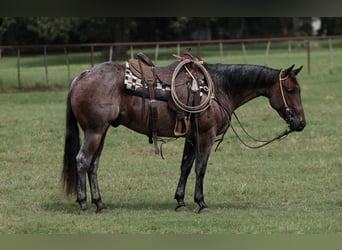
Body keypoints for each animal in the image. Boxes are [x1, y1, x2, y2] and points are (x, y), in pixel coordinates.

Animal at [62, 55, 306, 214]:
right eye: (290, 90)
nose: (301, 123)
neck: (218, 88)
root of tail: (81, 76)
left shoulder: (192, 137)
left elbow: (186, 167)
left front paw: (180, 202)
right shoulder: (206, 135)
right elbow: (200, 168)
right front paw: (201, 203)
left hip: (101, 132)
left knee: (93, 165)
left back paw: (100, 204)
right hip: (95, 131)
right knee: (82, 160)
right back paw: (83, 204)